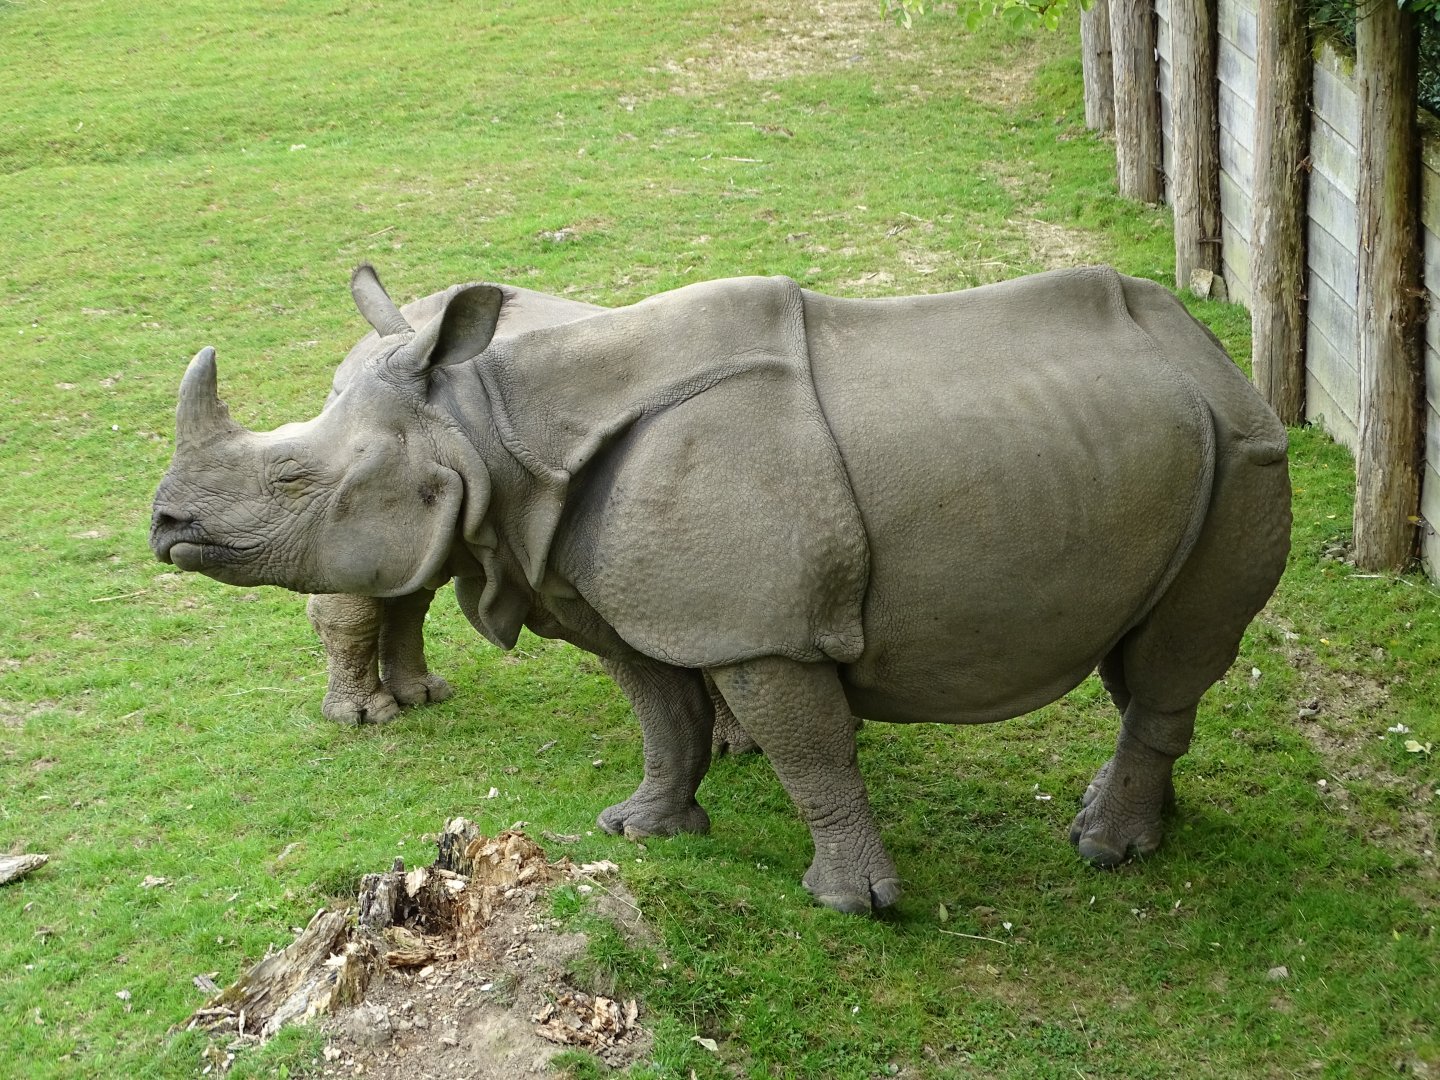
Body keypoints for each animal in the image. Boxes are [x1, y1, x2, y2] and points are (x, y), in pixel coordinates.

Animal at [151, 265, 1290, 914]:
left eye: (293, 479)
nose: (164, 527)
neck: (491, 428)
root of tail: (1217, 357)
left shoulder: (760, 631)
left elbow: (809, 751)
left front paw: (851, 904)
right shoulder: (621, 600)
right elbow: (664, 715)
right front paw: (642, 830)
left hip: (1245, 455)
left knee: (1170, 662)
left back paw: (1105, 852)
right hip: (1183, 455)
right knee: (1145, 660)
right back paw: (1132, 827)